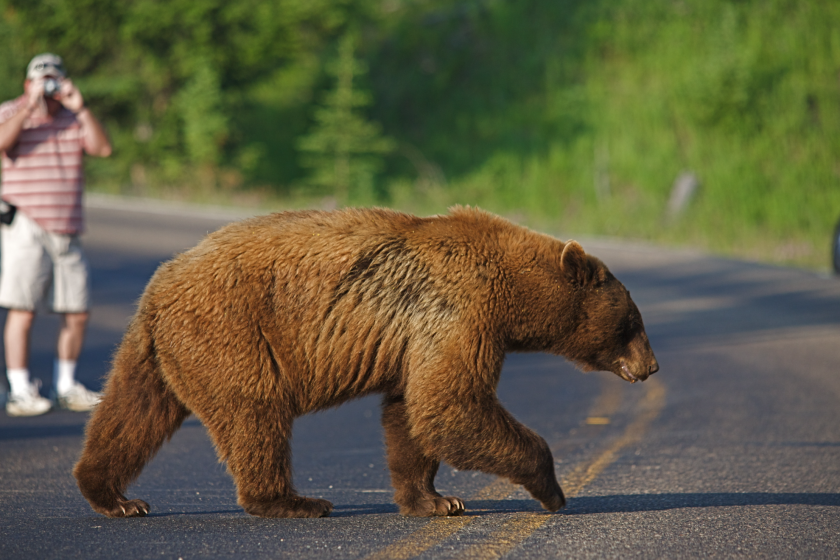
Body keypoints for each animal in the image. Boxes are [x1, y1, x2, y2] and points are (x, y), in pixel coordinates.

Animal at [73, 206, 658, 519]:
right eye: (633, 322)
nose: (652, 366)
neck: (512, 295)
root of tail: (158, 286)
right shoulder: (458, 311)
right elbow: (452, 404)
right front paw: (552, 489)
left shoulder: (417, 337)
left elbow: (412, 413)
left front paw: (435, 499)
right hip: (232, 333)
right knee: (255, 413)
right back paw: (293, 500)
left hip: (160, 350)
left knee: (133, 413)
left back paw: (114, 495)